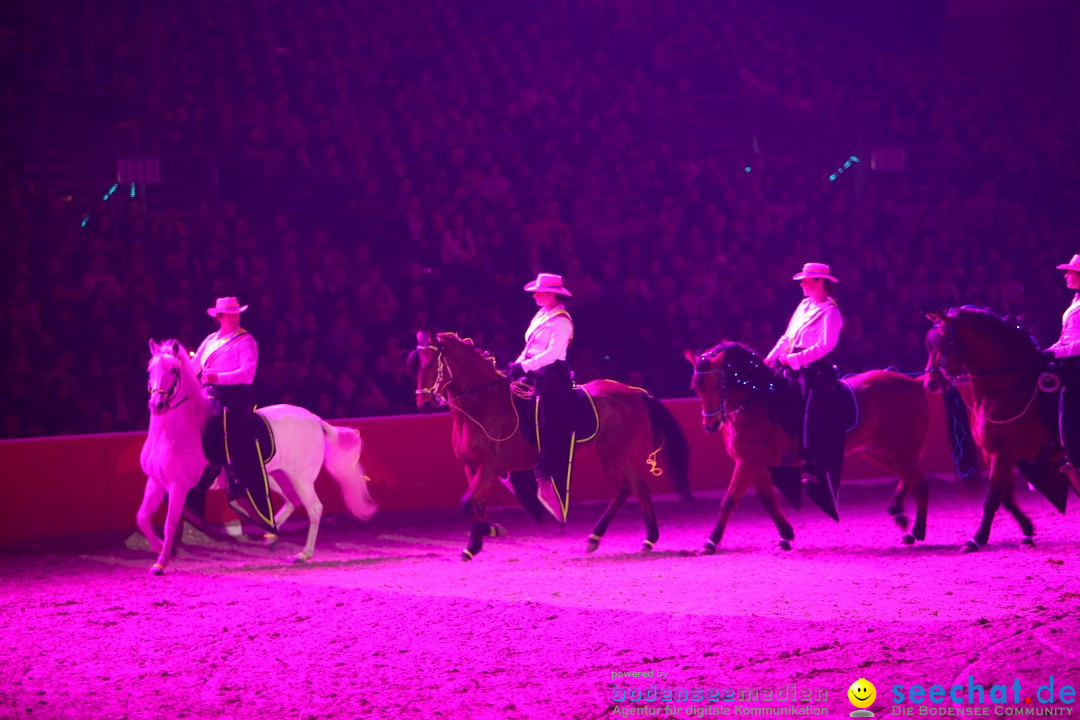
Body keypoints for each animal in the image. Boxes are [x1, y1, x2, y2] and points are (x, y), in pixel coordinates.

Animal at [137, 341, 378, 578]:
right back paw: (270, 534)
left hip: (301, 479)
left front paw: (161, 563)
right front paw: (159, 547)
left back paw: (303, 554)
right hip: (274, 477)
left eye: (173, 370)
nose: (157, 404)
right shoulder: (156, 481)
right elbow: (143, 516)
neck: (176, 430)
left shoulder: (178, 485)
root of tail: (316, 420)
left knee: (314, 508)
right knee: (292, 500)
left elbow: (169, 523)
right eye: (149, 370)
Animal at [408, 334, 686, 561]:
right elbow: (475, 504)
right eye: (415, 366)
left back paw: (596, 537)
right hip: (618, 454)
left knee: (622, 490)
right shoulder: (471, 466)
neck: (484, 405)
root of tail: (634, 391)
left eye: (431, 364)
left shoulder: (490, 468)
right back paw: (647, 539)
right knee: (639, 488)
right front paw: (473, 545)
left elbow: (466, 503)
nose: (424, 404)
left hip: (612, 454)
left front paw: (492, 530)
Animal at [691, 343, 928, 552]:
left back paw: (915, 531)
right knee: (909, 478)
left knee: (919, 483)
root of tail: (913, 382)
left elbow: (729, 501)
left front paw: (710, 542)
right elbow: (768, 501)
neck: (757, 401)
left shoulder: (748, 462)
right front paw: (786, 535)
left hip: (900, 449)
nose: (710, 425)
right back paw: (898, 513)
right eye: (696, 388)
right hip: (880, 451)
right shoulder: (753, 463)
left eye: (717, 385)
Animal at [924, 308, 1067, 552]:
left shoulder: (1005, 453)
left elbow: (992, 498)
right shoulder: (993, 454)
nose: (930, 382)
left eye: (945, 343)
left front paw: (976, 539)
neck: (1008, 386)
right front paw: (1028, 531)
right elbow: (1005, 498)